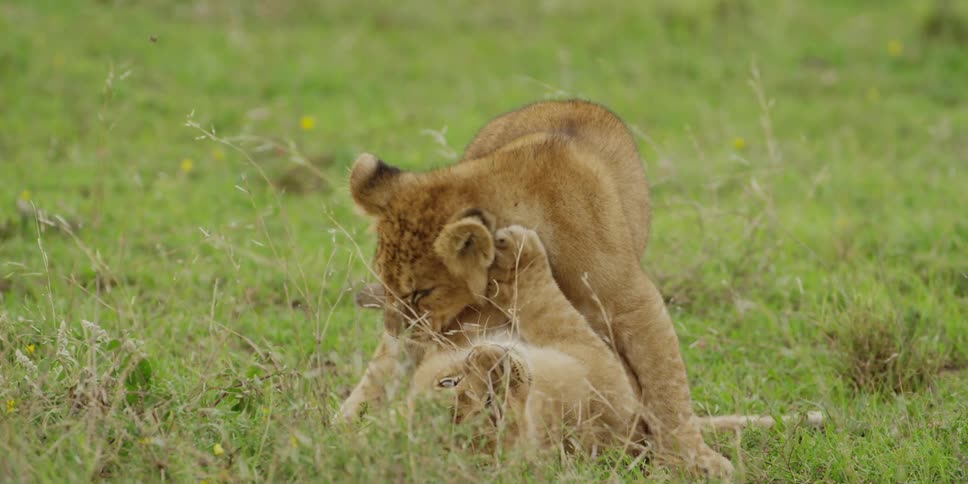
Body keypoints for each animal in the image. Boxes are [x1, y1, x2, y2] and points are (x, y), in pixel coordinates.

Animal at [341, 100, 733, 477]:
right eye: (386, 285)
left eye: (421, 292)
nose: (396, 329)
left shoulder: (631, 303)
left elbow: (666, 382)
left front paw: (694, 459)